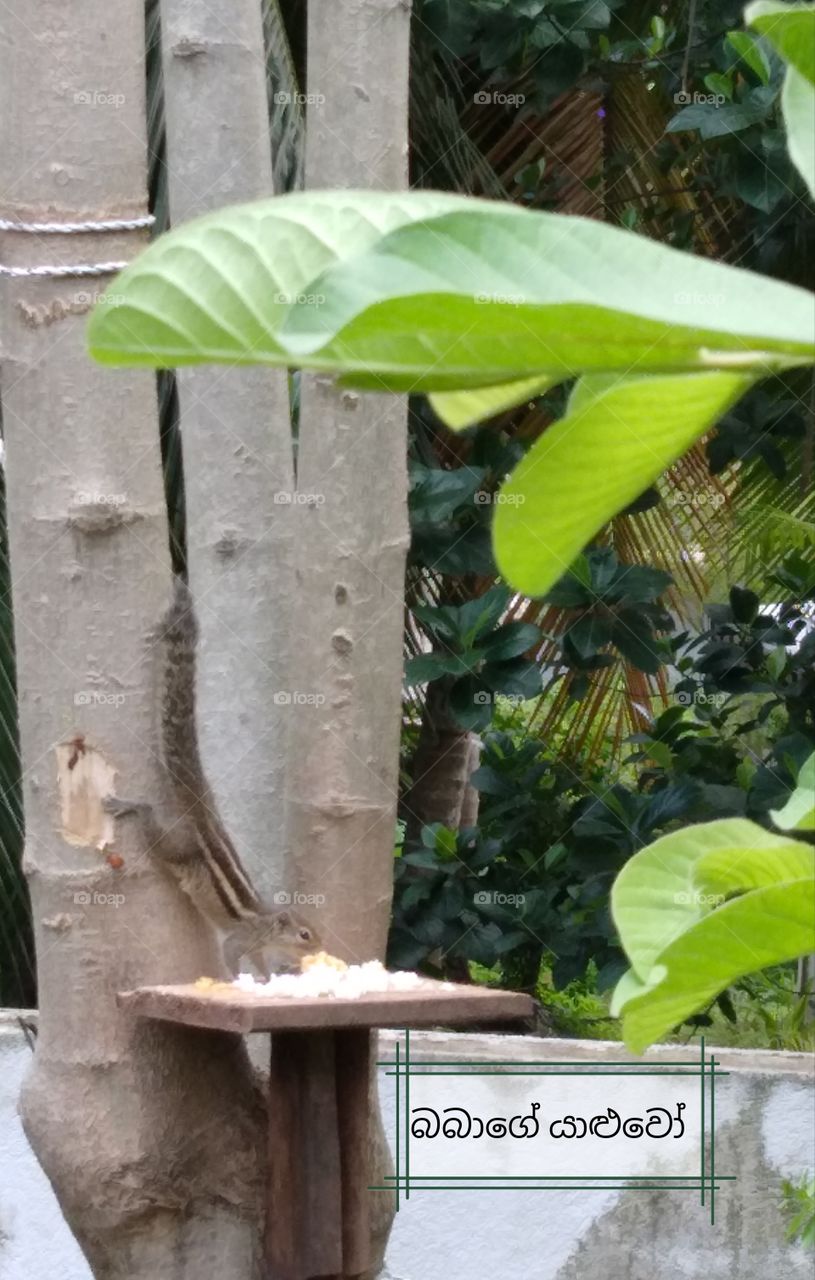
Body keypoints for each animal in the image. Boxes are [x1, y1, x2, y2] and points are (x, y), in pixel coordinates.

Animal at [104, 577, 320, 979]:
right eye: (304, 935)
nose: (320, 948)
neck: (265, 924)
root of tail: (201, 814)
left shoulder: (257, 947)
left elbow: (260, 963)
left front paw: (269, 977)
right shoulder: (241, 938)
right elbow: (232, 956)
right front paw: (241, 980)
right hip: (181, 848)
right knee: (153, 826)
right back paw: (129, 805)